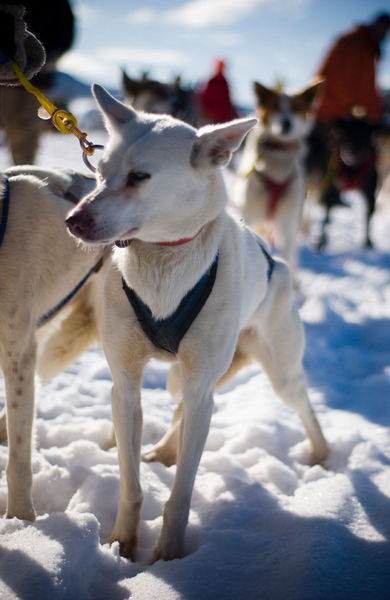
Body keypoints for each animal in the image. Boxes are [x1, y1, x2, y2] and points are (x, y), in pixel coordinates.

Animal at [235, 81, 322, 282]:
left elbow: (286, 254)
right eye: (275, 107)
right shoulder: (250, 214)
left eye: (296, 108)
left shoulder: (287, 221)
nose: (286, 123)